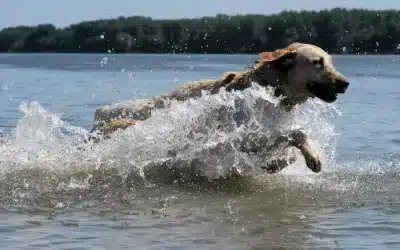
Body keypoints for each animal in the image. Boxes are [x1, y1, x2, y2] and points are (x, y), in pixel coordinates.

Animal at [85, 43, 350, 175]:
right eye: (317, 63)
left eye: (331, 61)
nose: (346, 83)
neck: (270, 90)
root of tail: (100, 114)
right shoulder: (243, 136)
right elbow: (297, 133)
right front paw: (312, 157)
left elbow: (290, 151)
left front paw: (275, 163)